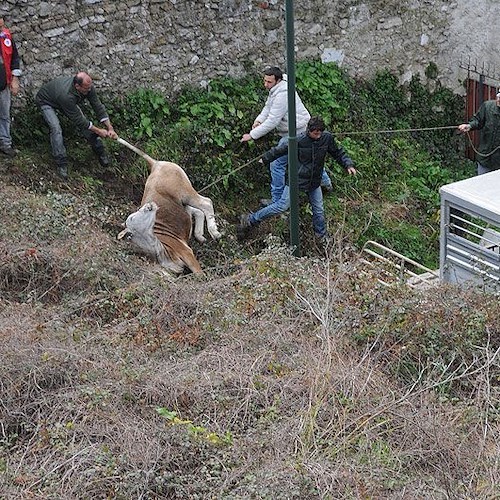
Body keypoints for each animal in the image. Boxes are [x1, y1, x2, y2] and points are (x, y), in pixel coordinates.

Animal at [117, 139, 221, 276]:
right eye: (133, 218)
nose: (149, 205)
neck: (160, 249)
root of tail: (156, 164)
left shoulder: (186, 253)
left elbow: (198, 273)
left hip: (185, 194)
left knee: (206, 202)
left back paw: (214, 231)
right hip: (183, 204)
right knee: (198, 212)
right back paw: (199, 235)